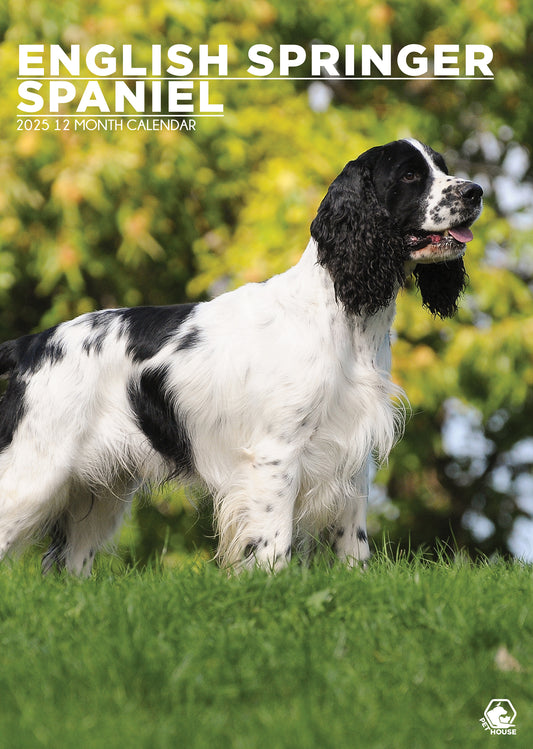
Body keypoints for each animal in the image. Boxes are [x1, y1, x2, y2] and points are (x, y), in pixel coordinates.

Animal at [0, 139, 482, 572]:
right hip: (35, 474)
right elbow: (274, 543)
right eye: (410, 175)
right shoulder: (276, 454)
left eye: (441, 166)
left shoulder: (352, 456)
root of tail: (31, 345)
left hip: (98, 492)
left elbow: (354, 545)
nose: (475, 191)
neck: (344, 318)